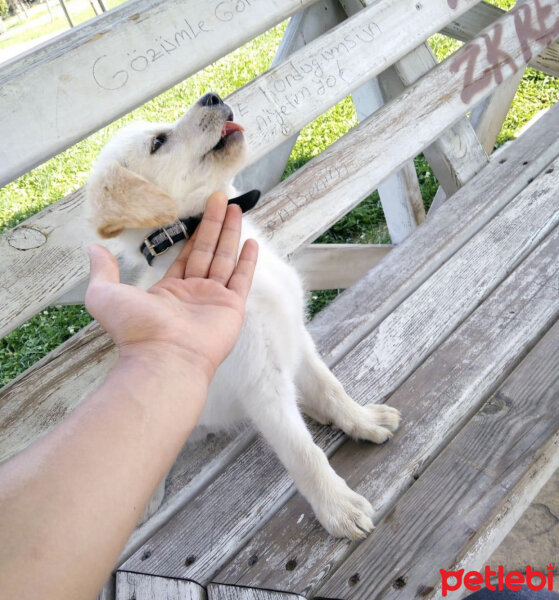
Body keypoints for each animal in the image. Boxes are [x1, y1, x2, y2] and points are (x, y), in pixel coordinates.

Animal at [85, 92, 400, 540]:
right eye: (158, 142)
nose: (212, 96)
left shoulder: (295, 335)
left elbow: (332, 389)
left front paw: (361, 420)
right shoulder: (259, 382)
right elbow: (303, 452)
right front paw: (338, 508)